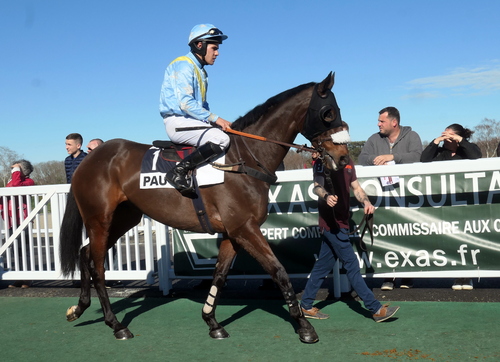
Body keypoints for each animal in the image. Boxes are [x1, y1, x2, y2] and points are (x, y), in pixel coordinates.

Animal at [60, 72, 350, 344]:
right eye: (328, 112)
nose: (342, 157)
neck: (244, 159)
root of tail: (90, 160)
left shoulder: (233, 233)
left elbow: (219, 275)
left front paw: (212, 322)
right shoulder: (245, 228)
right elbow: (279, 271)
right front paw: (304, 327)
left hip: (123, 218)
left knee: (85, 254)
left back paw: (80, 308)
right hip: (99, 220)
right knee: (98, 267)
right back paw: (116, 324)